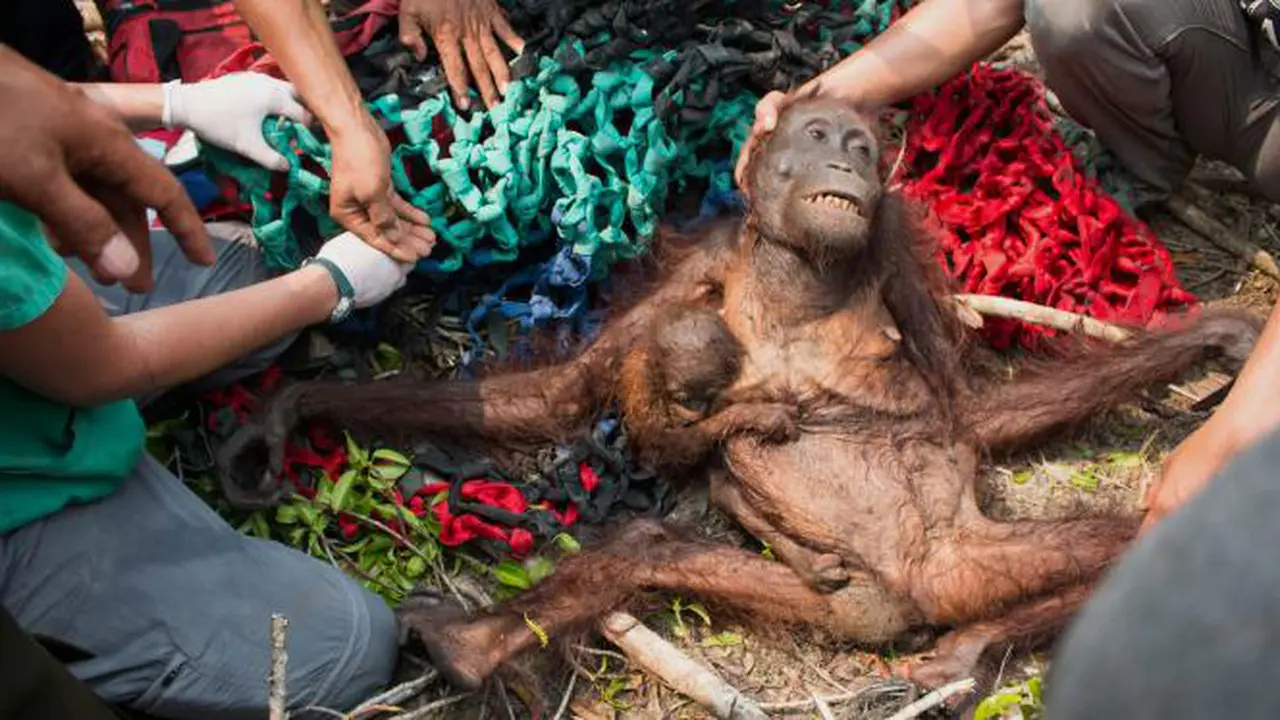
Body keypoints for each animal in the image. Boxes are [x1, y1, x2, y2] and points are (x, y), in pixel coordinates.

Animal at [223, 97, 1262, 698]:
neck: (803, 269)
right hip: (846, 600)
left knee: (1126, 542)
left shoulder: (898, 256)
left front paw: (1219, 339)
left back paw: (971, 651)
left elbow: (962, 411)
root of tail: (925, 586)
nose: (847, 162)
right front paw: (298, 405)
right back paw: (468, 649)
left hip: (963, 565)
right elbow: (558, 397)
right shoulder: (695, 274)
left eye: (863, 147)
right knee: (648, 548)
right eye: (820, 137)